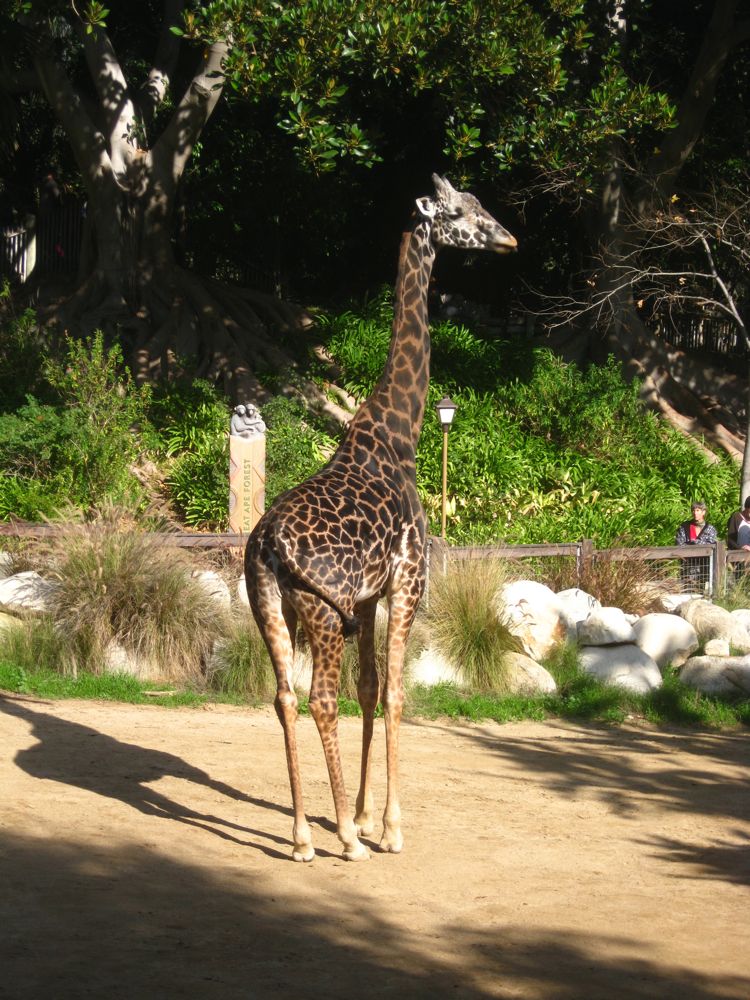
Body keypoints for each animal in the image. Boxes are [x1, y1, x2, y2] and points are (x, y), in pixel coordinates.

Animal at [247, 174, 516, 860]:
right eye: (463, 210)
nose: (509, 238)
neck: (403, 432)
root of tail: (267, 545)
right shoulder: (408, 582)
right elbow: (395, 693)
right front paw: (388, 828)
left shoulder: (365, 600)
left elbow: (370, 689)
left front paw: (368, 814)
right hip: (318, 611)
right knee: (320, 699)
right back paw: (343, 838)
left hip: (271, 606)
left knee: (285, 697)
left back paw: (301, 837)